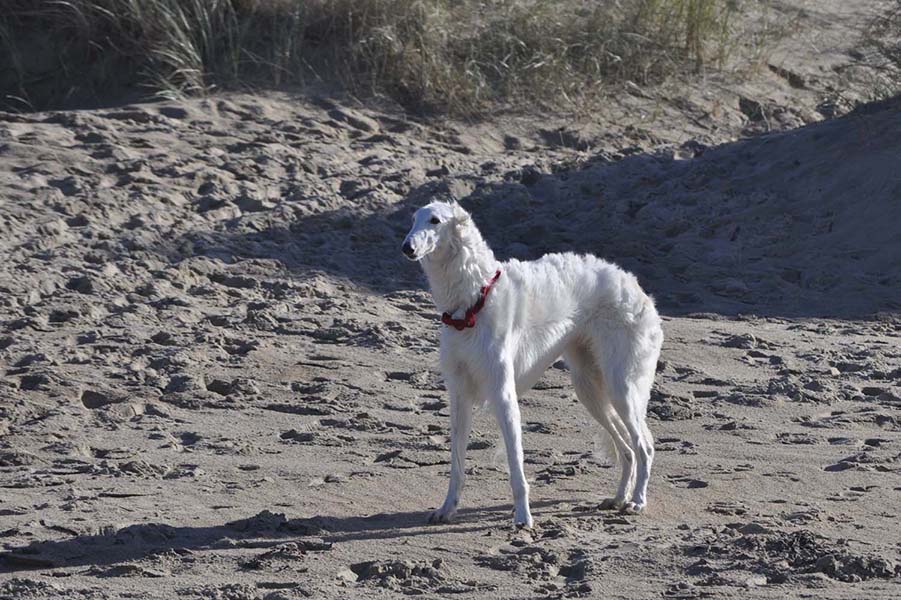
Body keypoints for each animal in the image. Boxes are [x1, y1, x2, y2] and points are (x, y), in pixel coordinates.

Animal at [402, 201, 663, 528]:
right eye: (413, 220)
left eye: (435, 221)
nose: (406, 247)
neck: (475, 301)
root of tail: (635, 285)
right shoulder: (459, 394)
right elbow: (457, 464)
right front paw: (447, 508)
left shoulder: (503, 393)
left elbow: (516, 467)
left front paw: (523, 518)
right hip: (589, 389)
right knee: (627, 450)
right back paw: (618, 498)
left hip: (621, 388)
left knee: (644, 447)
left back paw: (637, 501)